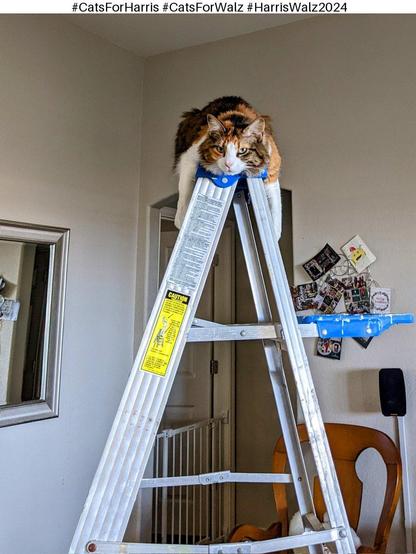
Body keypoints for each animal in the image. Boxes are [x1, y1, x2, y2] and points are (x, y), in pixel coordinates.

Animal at [172, 95, 282, 237]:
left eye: (242, 150)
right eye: (220, 149)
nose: (228, 164)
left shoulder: (271, 172)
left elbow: (276, 208)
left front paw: (274, 234)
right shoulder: (189, 158)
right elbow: (184, 192)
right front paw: (180, 221)